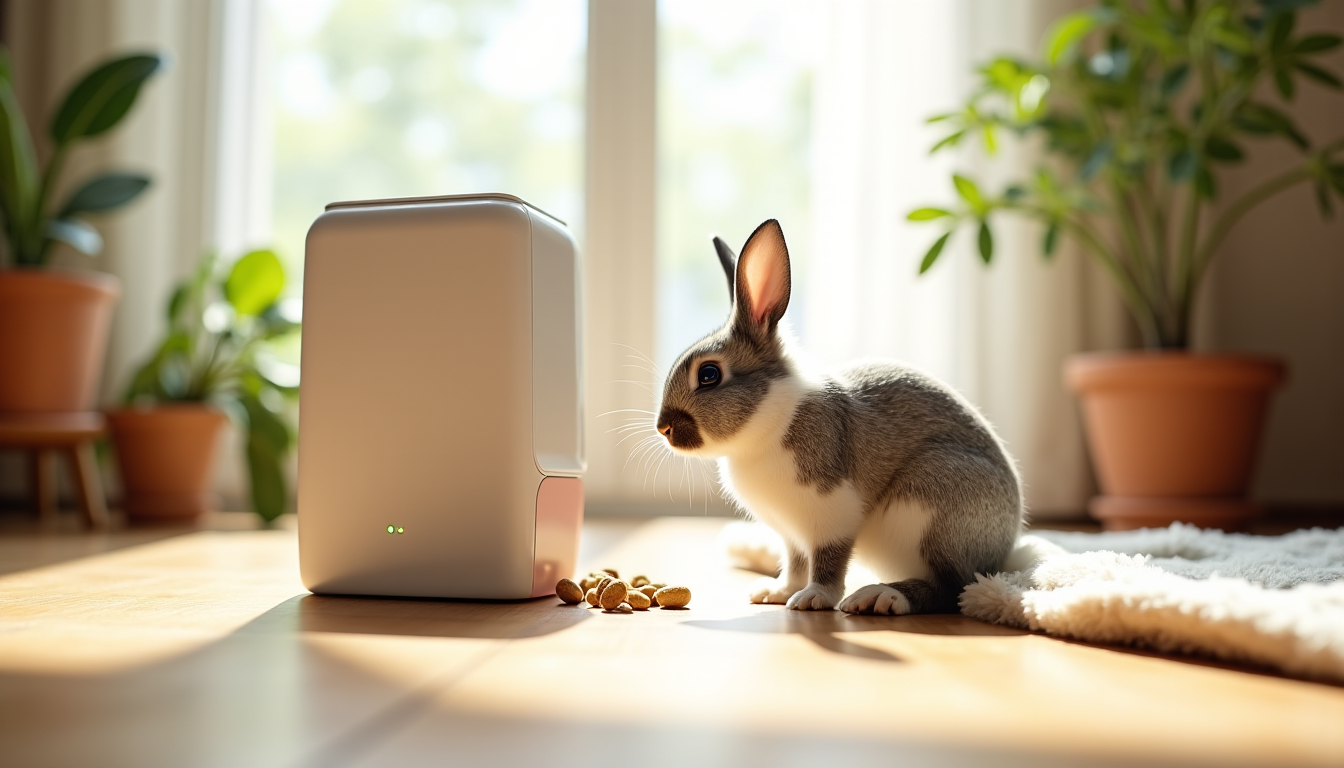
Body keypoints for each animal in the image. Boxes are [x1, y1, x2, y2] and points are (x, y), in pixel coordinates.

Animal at [655, 219, 1023, 614]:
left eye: (709, 374)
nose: (663, 427)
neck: (770, 419)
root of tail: (1005, 545)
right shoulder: (792, 534)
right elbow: (796, 562)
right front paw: (777, 592)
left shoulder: (833, 515)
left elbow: (828, 561)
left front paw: (813, 598)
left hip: (932, 504)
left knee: (953, 589)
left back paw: (881, 596)